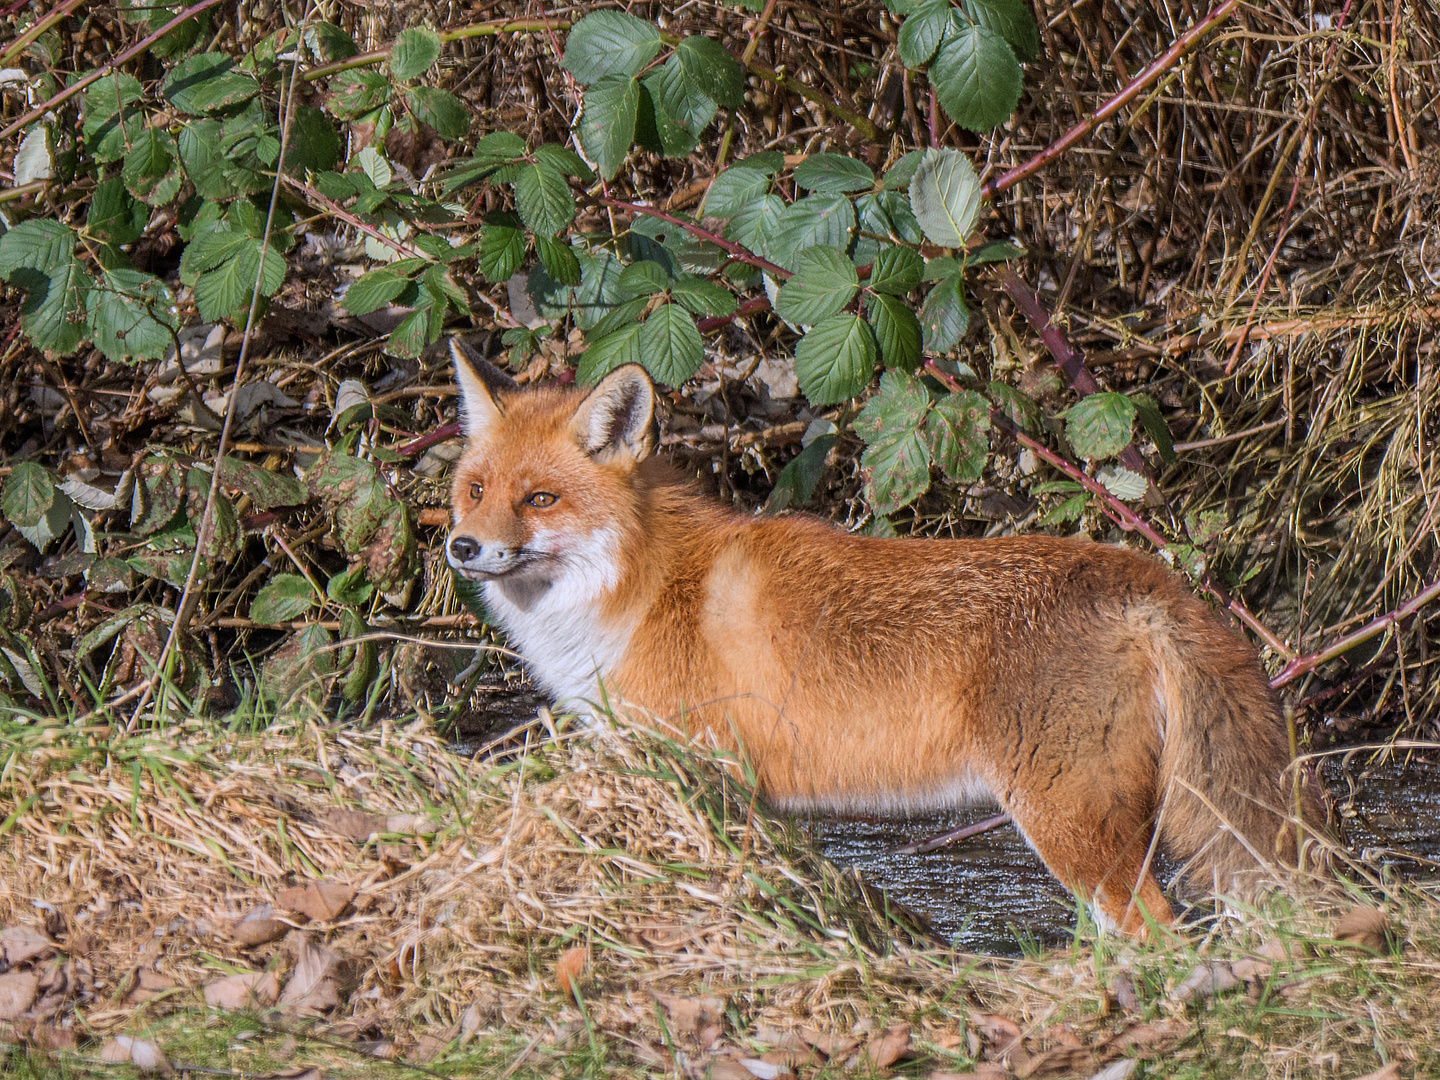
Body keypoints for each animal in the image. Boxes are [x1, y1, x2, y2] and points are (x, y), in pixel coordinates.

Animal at [446, 339, 1324, 938]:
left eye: (541, 499)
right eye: (477, 490)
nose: (461, 547)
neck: (640, 590)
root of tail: (1150, 577)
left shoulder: (709, 779)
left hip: (1071, 824)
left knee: (1156, 927)